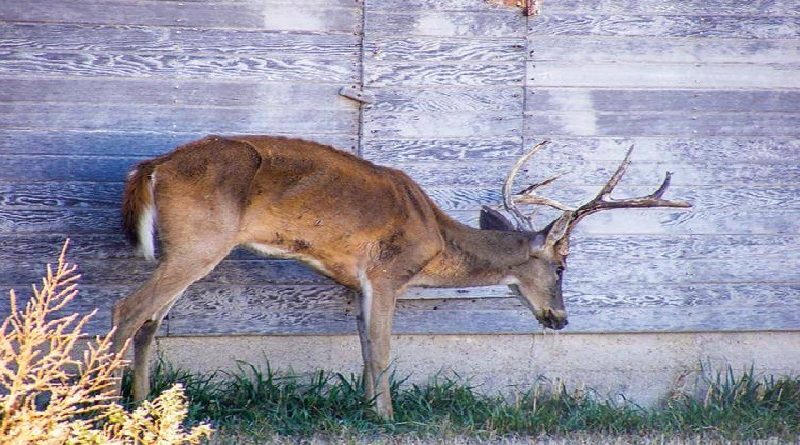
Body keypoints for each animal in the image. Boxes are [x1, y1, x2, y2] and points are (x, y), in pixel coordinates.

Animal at [111, 134, 688, 416]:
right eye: (563, 265)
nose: (560, 319)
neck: (435, 237)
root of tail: (151, 167)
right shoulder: (387, 272)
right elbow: (385, 350)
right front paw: (388, 417)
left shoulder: (355, 282)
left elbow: (366, 348)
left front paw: (367, 410)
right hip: (201, 241)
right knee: (128, 308)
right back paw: (101, 404)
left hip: (183, 248)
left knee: (150, 321)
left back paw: (145, 402)